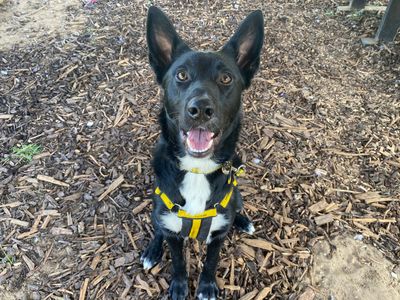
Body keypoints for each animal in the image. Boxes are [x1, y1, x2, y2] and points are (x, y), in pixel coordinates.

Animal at [142, 7, 264, 300]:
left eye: (226, 78)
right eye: (181, 75)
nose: (200, 110)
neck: (197, 171)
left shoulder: (218, 236)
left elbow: (211, 261)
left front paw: (206, 286)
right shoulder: (173, 233)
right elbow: (177, 261)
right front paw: (178, 287)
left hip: (237, 196)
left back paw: (243, 221)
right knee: (157, 228)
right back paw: (152, 251)